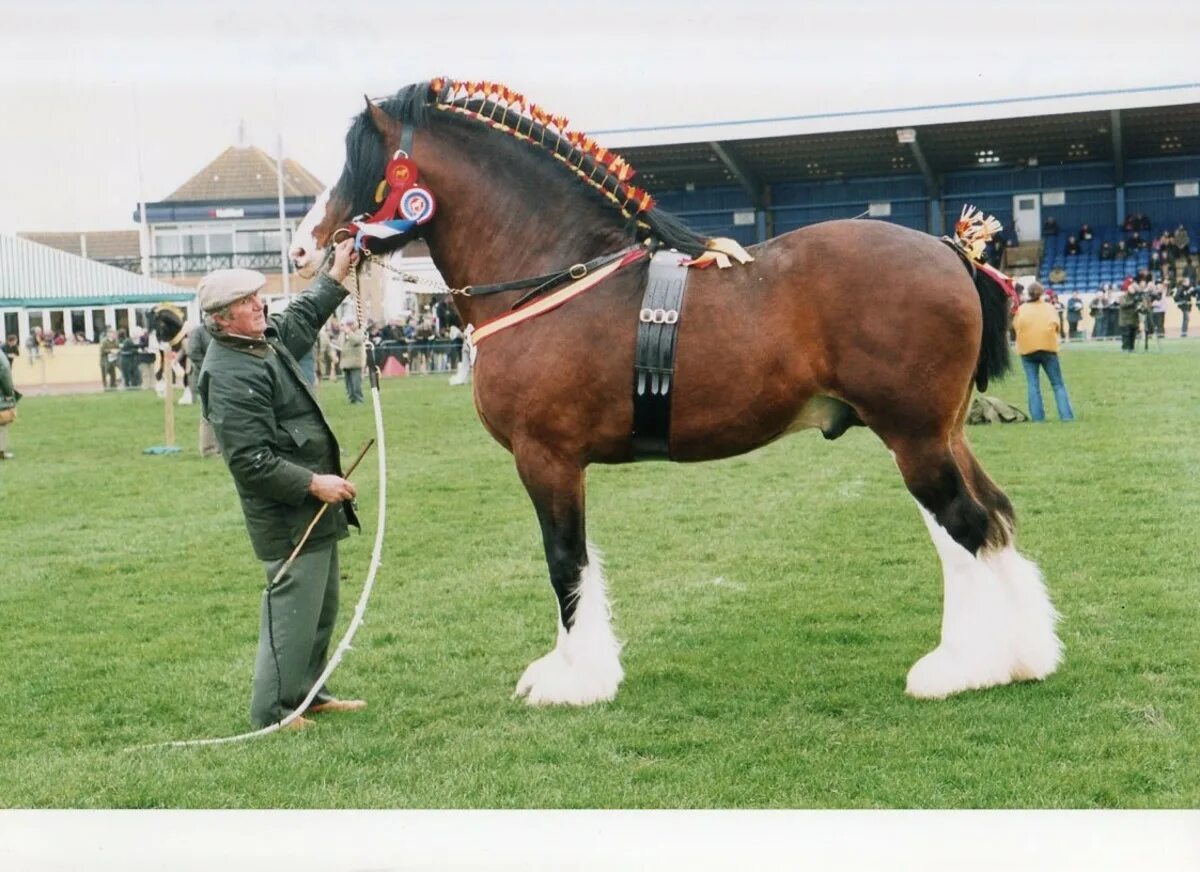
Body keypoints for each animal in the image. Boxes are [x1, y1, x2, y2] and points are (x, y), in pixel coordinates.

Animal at [288, 80, 1060, 710]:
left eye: (360, 164)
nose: (301, 248)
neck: (554, 272)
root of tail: (950, 250)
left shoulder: (547, 457)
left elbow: (564, 560)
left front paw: (577, 680)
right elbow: (573, 560)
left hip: (914, 438)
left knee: (965, 527)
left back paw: (962, 668)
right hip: (942, 435)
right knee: (988, 523)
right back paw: (1022, 657)